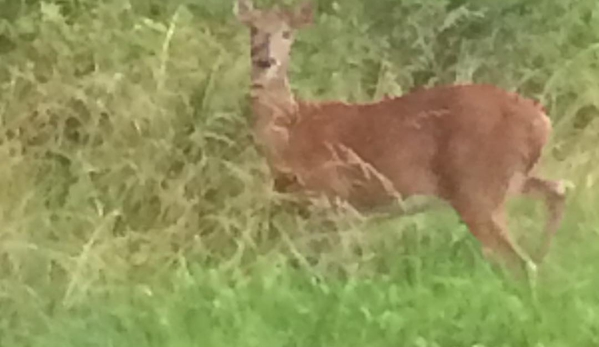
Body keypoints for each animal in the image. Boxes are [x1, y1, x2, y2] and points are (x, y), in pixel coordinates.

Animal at [234, 0, 568, 272]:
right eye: (253, 29)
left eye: (287, 34)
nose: (265, 61)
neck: (292, 126)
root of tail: (542, 121)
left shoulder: (334, 194)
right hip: (509, 179)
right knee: (559, 189)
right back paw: (544, 256)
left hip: (478, 187)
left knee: (519, 263)